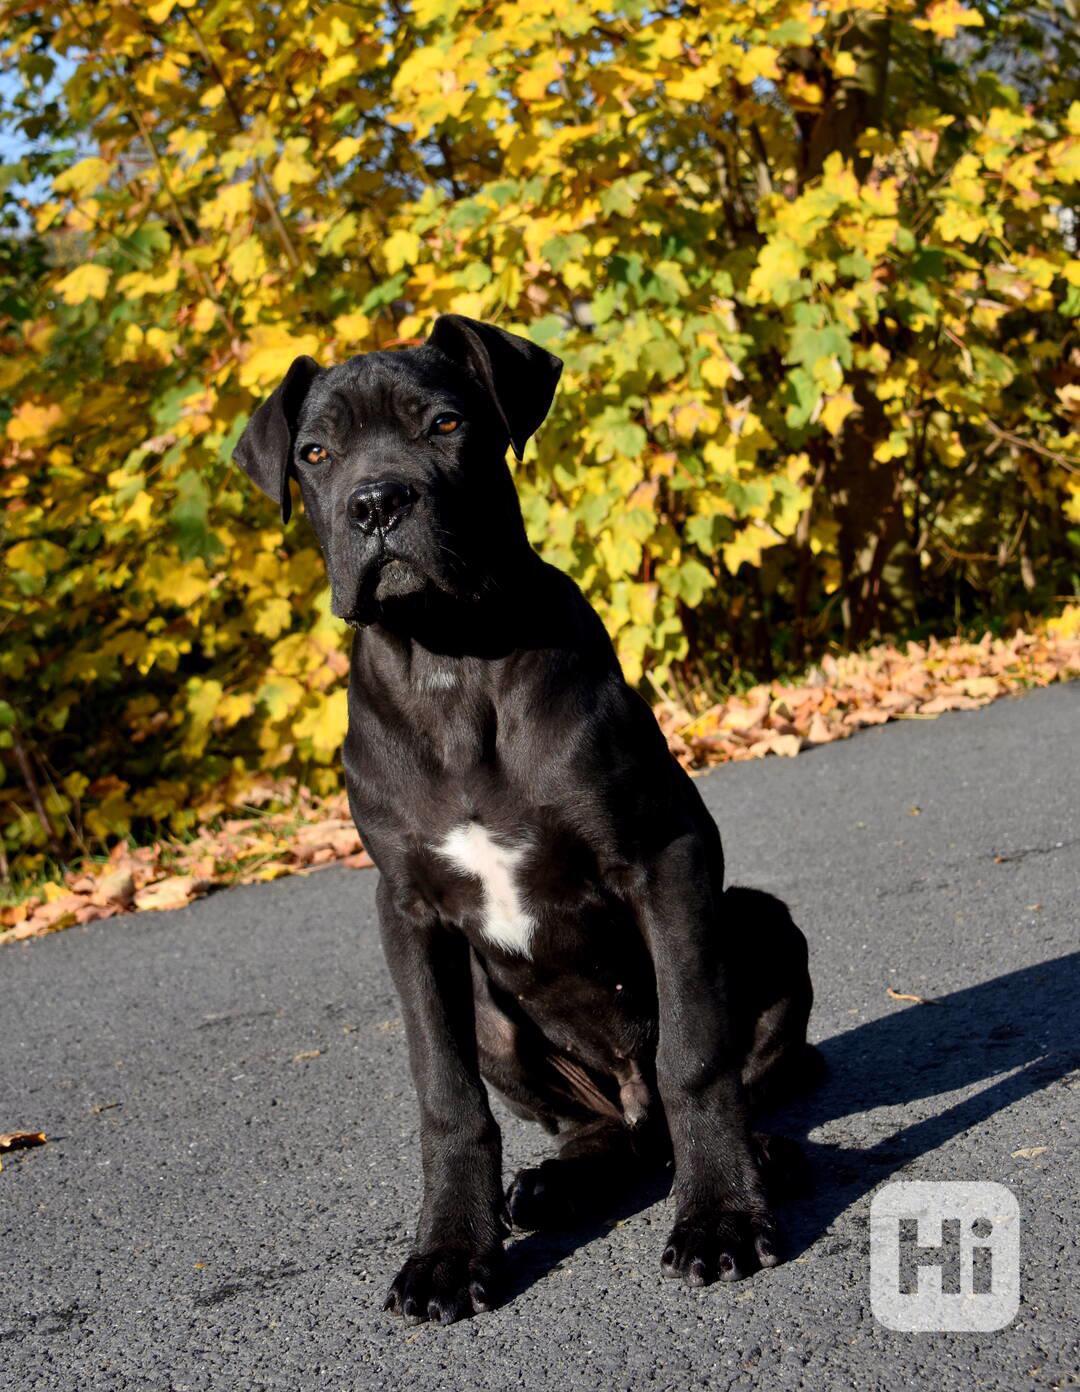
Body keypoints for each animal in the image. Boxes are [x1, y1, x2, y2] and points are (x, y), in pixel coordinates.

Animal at [233, 318, 812, 1325]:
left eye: (445, 423)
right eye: (315, 453)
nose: (377, 504)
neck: (451, 660)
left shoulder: (668, 856)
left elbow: (695, 1053)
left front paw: (721, 1218)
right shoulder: (408, 912)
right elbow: (446, 1095)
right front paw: (449, 1254)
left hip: (760, 918)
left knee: (711, 1084)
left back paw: (759, 1159)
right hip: (490, 1003)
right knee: (601, 1128)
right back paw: (558, 1182)